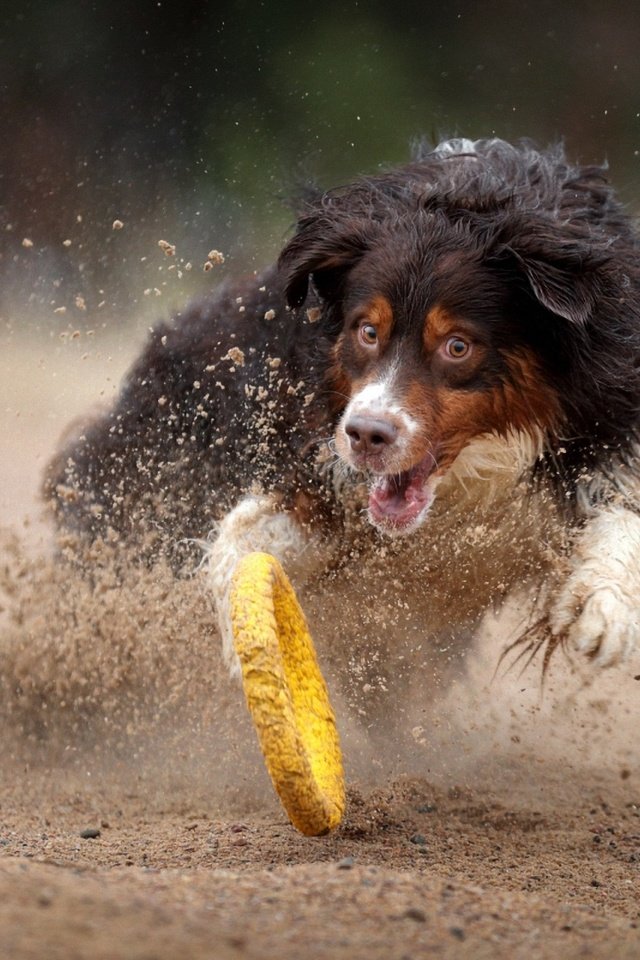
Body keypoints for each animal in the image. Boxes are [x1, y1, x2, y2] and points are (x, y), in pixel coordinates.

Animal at [47, 141, 640, 696]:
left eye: (457, 346)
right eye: (367, 330)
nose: (366, 435)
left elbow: (620, 516)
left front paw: (602, 608)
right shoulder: (319, 466)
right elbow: (250, 537)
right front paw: (250, 638)